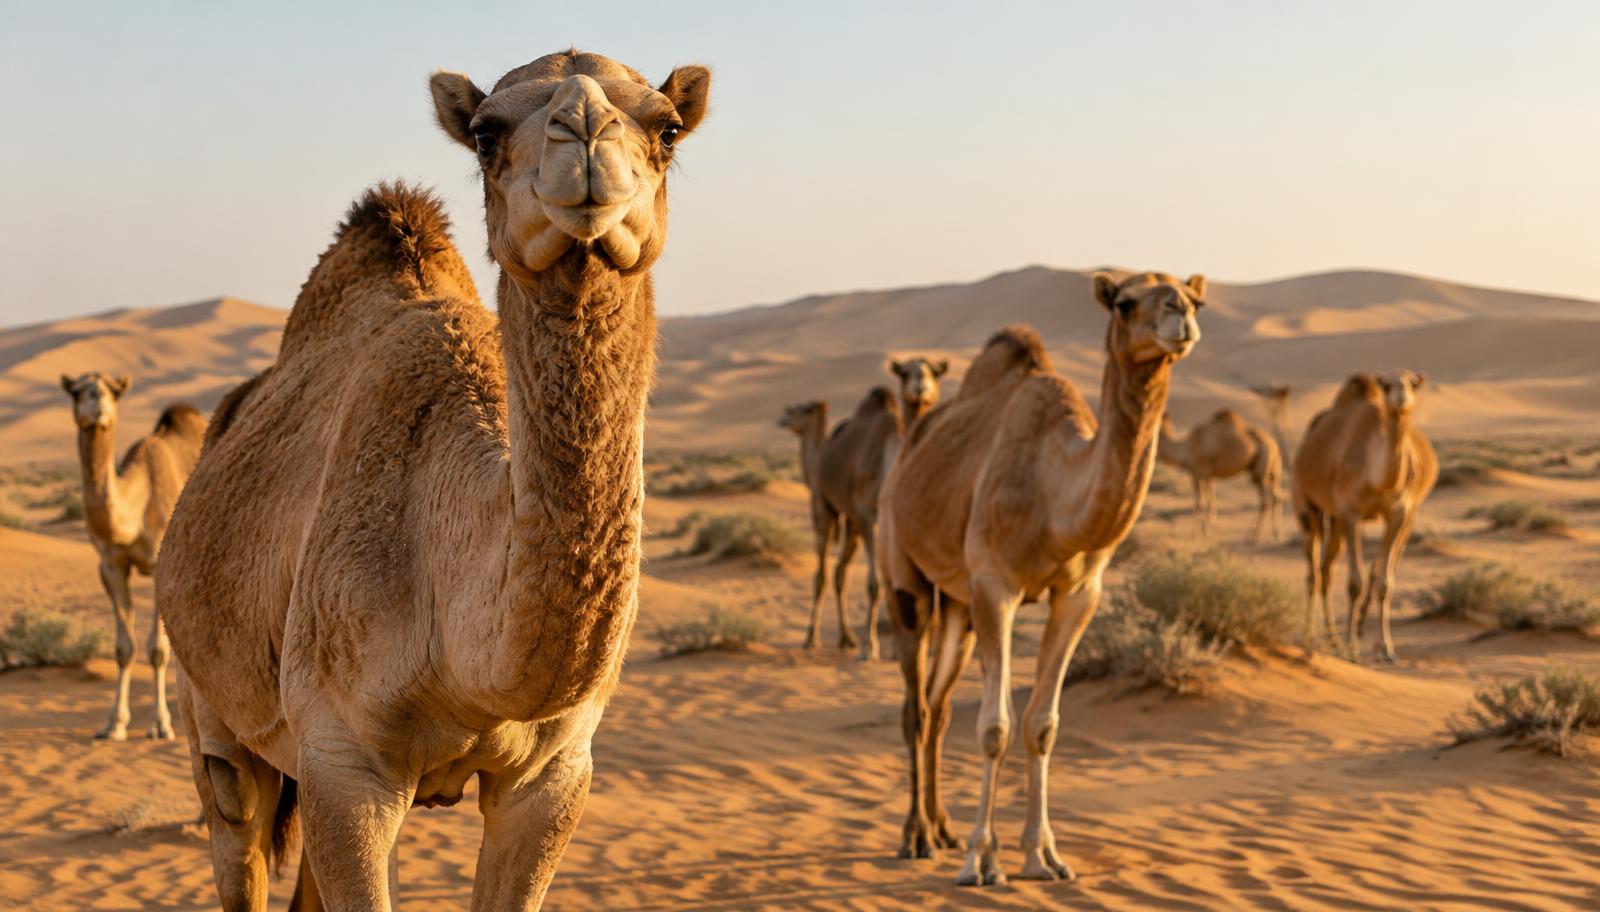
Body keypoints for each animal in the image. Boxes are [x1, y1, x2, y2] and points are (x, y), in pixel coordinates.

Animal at [58, 373, 204, 741]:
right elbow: (124, 649)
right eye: (76, 391)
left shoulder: (159, 567)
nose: (97, 404)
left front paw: (161, 725)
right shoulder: (111, 566)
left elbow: (157, 650)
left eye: (114, 391)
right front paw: (114, 724)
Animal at [156, 50, 710, 910]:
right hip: (213, 712)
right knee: (234, 820)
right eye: (485, 133)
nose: (584, 128)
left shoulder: (553, 775)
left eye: (668, 127)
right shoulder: (345, 762)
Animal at [878, 271, 1204, 885]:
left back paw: (942, 829)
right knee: (916, 708)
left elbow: (1042, 724)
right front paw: (982, 861)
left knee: (939, 706)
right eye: (1124, 302)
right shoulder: (995, 585)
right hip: (904, 579)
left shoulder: (1078, 593)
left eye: (1196, 298)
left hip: (958, 606)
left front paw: (1042, 856)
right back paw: (916, 837)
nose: (1181, 315)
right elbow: (995, 727)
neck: (1054, 495)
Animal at [1157, 408, 1284, 543]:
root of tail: (1274, 445)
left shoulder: (1197, 473)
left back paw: (1253, 536)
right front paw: (1206, 528)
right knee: (1277, 496)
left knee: (1266, 501)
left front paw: (1196, 534)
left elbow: (1199, 502)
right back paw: (1275, 533)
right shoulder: (1209, 476)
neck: (1185, 448)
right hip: (1272, 472)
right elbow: (1210, 499)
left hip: (1260, 472)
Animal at [1293, 370, 1437, 662]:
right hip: (1307, 504)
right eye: (1388, 384)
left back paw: (1333, 639)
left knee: (1326, 569)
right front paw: (1352, 649)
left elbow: (1385, 582)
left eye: (1413, 383)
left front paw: (1386, 649)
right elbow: (1354, 583)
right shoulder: (1350, 513)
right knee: (1313, 571)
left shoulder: (1398, 513)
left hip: (1338, 520)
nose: (1401, 395)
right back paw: (1310, 638)